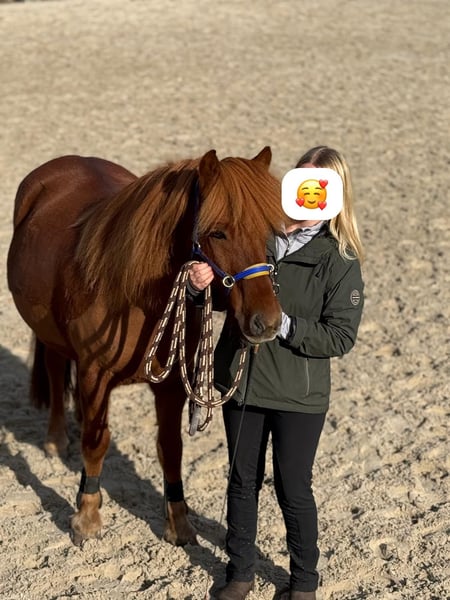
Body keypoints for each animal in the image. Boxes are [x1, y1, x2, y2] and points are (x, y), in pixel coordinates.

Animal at [7, 146, 284, 546]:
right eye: (218, 232)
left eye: (268, 231)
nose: (268, 322)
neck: (134, 294)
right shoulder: (94, 373)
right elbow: (96, 443)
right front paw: (87, 517)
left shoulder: (171, 385)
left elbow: (170, 449)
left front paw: (178, 522)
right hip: (51, 336)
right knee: (57, 370)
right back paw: (56, 439)